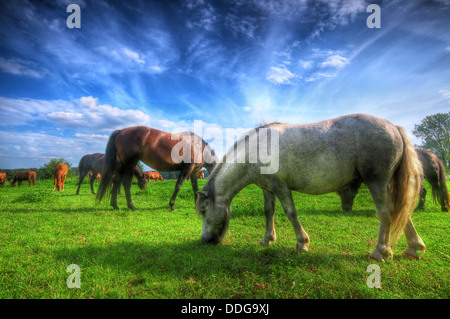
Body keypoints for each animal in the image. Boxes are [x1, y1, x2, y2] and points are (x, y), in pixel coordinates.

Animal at [196, 114, 426, 262]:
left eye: (204, 211)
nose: (205, 241)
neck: (257, 149)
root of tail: (394, 127)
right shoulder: (268, 188)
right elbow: (269, 212)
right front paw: (267, 239)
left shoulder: (281, 187)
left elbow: (291, 213)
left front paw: (302, 243)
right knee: (401, 212)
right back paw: (413, 247)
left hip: (377, 182)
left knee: (386, 213)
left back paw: (380, 252)